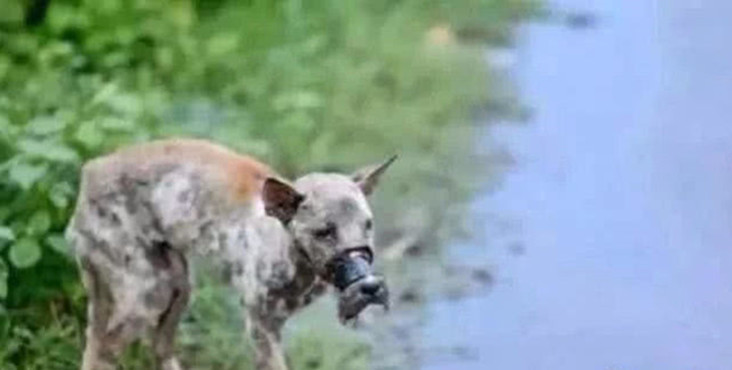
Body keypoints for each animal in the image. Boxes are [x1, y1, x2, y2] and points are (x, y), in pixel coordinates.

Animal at [64, 139, 394, 370]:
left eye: (368, 225)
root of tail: (90, 171)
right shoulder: (261, 327)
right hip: (147, 296)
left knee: (156, 348)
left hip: (178, 289)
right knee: (104, 352)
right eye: (324, 232)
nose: (367, 285)